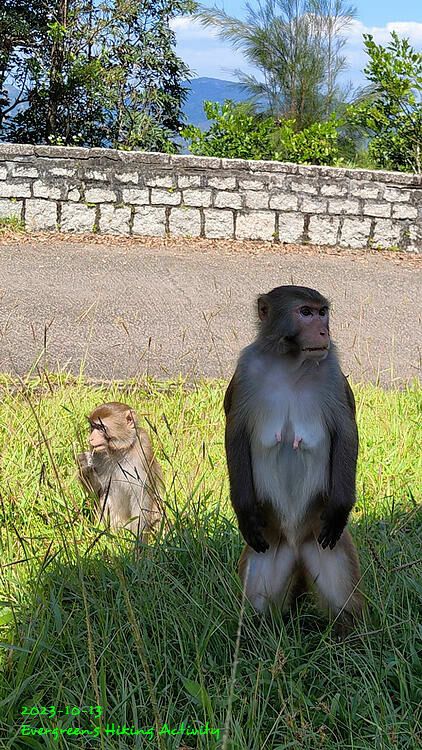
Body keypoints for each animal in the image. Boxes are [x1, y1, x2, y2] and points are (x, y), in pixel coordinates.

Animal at [77, 402, 164, 539]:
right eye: (93, 427)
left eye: (101, 427)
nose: (90, 439)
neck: (120, 450)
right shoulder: (98, 455)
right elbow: (99, 490)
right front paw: (84, 463)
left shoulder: (144, 450)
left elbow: (142, 497)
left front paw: (138, 539)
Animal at [224, 285, 362, 631]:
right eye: (305, 312)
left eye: (323, 312)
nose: (324, 331)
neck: (290, 361)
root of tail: (296, 544)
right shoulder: (245, 371)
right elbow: (235, 435)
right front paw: (244, 513)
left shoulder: (332, 372)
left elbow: (346, 433)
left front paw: (340, 509)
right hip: (270, 548)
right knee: (257, 607)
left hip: (324, 545)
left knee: (345, 606)